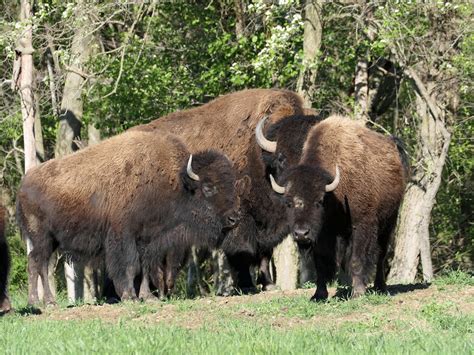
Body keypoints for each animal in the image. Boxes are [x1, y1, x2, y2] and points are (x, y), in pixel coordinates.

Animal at [15, 131, 244, 306]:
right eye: (208, 187)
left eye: (231, 184)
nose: (235, 218)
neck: (175, 182)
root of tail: (24, 184)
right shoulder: (124, 236)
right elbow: (131, 266)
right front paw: (129, 296)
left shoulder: (148, 240)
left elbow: (144, 268)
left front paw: (147, 297)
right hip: (42, 238)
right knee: (36, 263)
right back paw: (40, 302)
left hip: (51, 241)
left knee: (39, 264)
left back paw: (44, 302)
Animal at [130, 89, 306, 292]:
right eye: (282, 158)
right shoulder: (239, 217)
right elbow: (242, 250)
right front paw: (247, 285)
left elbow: (264, 254)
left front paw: (268, 284)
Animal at [266, 116, 408, 300]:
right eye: (288, 202)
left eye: (319, 201)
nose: (301, 234)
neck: (334, 192)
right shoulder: (321, 234)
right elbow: (320, 263)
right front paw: (318, 295)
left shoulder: (361, 225)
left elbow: (357, 259)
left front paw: (358, 293)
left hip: (389, 221)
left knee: (381, 254)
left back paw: (380, 287)